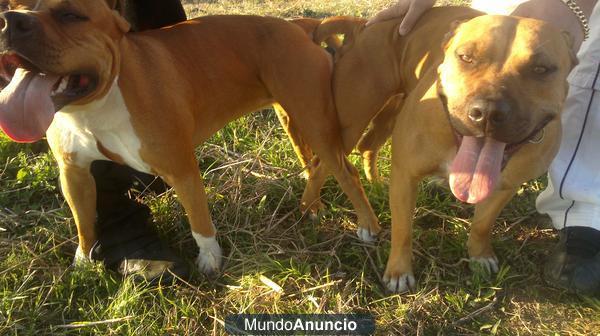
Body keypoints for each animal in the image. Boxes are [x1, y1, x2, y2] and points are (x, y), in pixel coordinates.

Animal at [0, 0, 382, 274]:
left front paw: (210, 261)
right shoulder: (74, 174)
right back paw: (311, 207)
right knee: (314, 165)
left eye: (70, 14)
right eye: (10, 3)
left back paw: (368, 227)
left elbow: (199, 220)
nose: (9, 20)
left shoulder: (181, 169)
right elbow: (83, 221)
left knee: (346, 173)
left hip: (315, 122)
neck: (94, 106)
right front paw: (83, 260)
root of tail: (303, 25)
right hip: (294, 119)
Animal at [296, 6, 576, 292]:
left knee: (368, 146)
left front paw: (479, 256)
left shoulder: (505, 187)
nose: (487, 112)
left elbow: (482, 225)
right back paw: (318, 208)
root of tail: (363, 24)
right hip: (350, 122)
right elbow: (403, 229)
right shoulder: (406, 175)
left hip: (391, 111)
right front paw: (398, 272)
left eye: (541, 69)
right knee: (327, 165)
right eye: (466, 57)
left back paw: (374, 184)